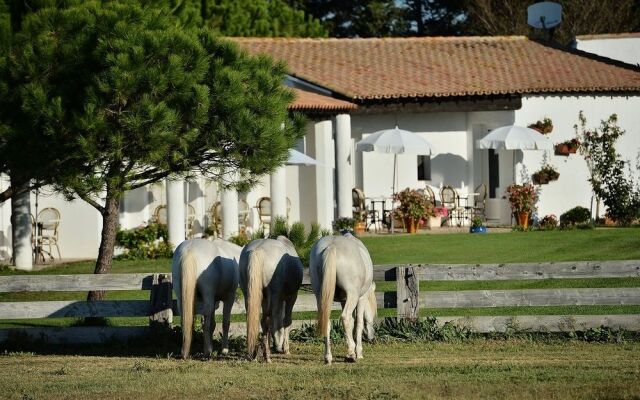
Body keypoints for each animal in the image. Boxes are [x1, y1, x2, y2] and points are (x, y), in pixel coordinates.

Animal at [308, 233, 376, 364]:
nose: (372, 338)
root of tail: (331, 246)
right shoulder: (361, 298)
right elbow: (358, 322)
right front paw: (358, 352)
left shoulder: (344, 300)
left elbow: (352, 323)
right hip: (353, 295)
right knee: (345, 318)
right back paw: (351, 355)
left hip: (320, 296)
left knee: (327, 321)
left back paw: (328, 357)